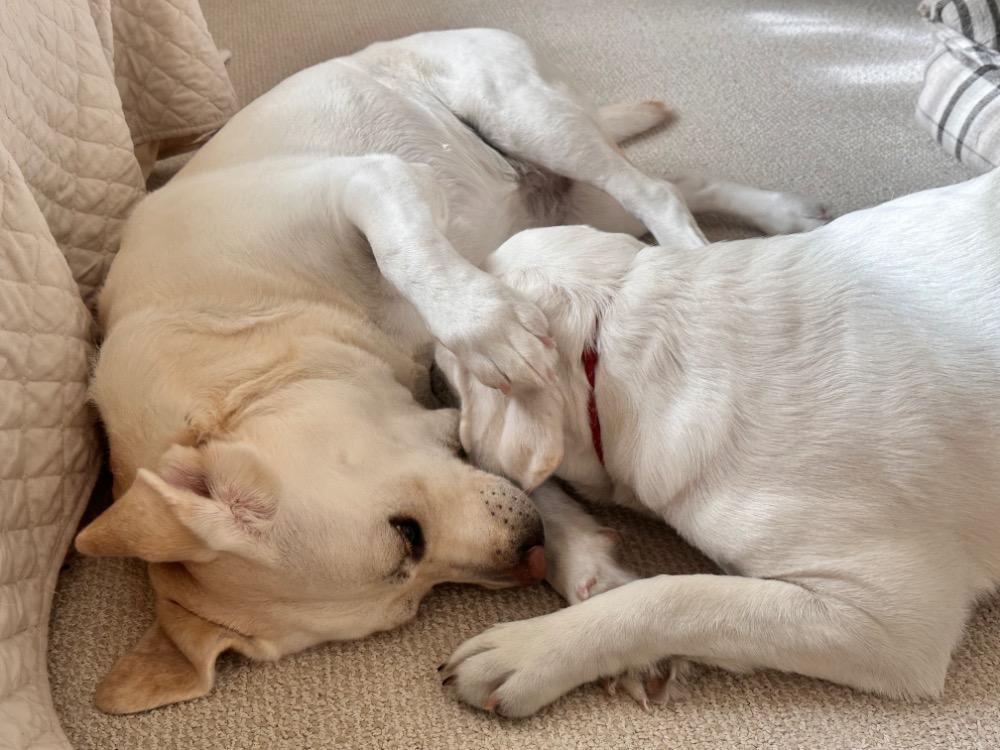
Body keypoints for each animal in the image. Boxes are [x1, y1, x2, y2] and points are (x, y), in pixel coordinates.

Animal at [74, 28, 826, 713]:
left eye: (404, 535)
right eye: (413, 593)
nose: (524, 565)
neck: (251, 323)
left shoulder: (372, 181)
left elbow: (410, 253)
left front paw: (487, 325)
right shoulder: (471, 435)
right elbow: (534, 487)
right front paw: (591, 580)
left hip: (530, 121)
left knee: (655, 191)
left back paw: (707, 251)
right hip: (578, 203)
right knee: (680, 184)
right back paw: (783, 213)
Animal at [436, 167, 1000, 716]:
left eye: (446, 352)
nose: (427, 377)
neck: (618, 332)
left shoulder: (892, 619)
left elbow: (676, 596)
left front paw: (530, 649)